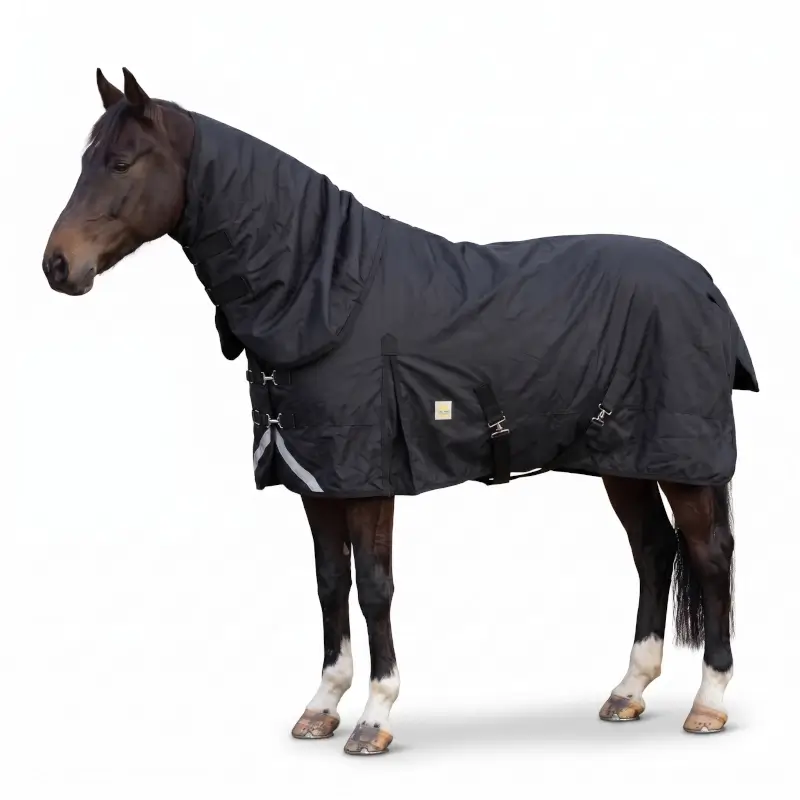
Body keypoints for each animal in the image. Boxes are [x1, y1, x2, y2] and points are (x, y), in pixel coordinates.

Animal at [42, 68, 758, 756]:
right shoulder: (317, 477)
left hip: (679, 457)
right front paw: (321, 707)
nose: (57, 265)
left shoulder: (369, 479)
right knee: (654, 549)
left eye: (122, 163)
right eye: (85, 160)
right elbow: (331, 581)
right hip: (623, 459)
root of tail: (702, 281)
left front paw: (374, 718)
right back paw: (628, 690)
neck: (329, 296)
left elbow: (374, 587)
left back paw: (708, 704)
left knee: (708, 555)